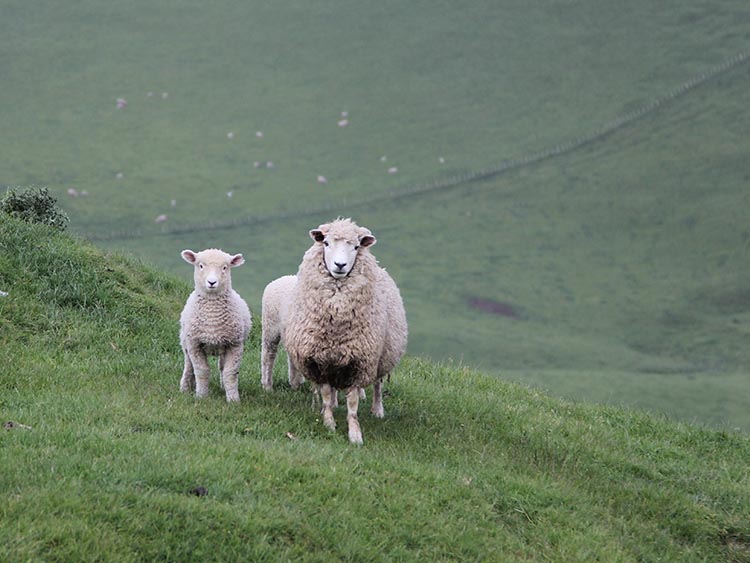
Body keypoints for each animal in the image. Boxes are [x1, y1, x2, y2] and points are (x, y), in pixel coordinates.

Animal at [179, 249, 253, 404]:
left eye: (225, 267)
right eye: (200, 265)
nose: (212, 282)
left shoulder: (235, 344)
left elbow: (230, 373)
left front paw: (233, 400)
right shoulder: (195, 344)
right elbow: (201, 371)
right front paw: (201, 396)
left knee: (222, 367)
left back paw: (223, 386)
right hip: (185, 342)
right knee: (189, 366)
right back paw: (185, 388)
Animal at [262, 218, 408, 442]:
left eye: (355, 247)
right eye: (326, 243)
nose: (340, 265)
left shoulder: (360, 361)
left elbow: (353, 402)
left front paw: (355, 433)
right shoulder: (318, 359)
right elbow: (325, 393)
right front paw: (329, 422)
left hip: (382, 355)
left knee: (378, 385)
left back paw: (377, 410)